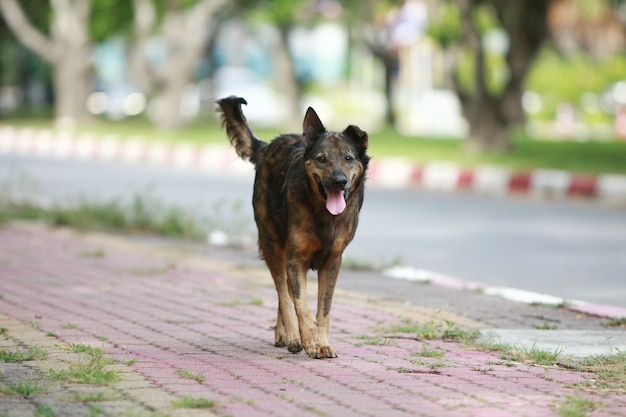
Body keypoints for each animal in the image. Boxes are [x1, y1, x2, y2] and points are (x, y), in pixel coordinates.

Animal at [217, 96, 368, 358]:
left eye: (349, 158)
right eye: (321, 158)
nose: (339, 182)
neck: (324, 214)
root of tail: (268, 146)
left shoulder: (332, 262)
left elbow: (324, 310)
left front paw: (322, 342)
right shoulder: (295, 258)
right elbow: (300, 304)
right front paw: (309, 340)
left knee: (285, 292)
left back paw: (285, 333)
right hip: (274, 245)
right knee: (283, 293)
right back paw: (292, 336)